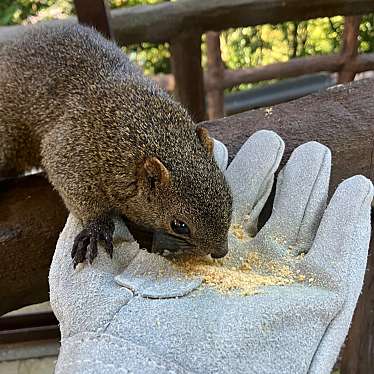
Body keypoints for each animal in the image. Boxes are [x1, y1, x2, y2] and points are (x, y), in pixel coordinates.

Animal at [0, 22, 232, 266]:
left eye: (230, 199)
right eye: (180, 225)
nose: (221, 252)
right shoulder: (71, 143)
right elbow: (71, 181)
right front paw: (97, 226)